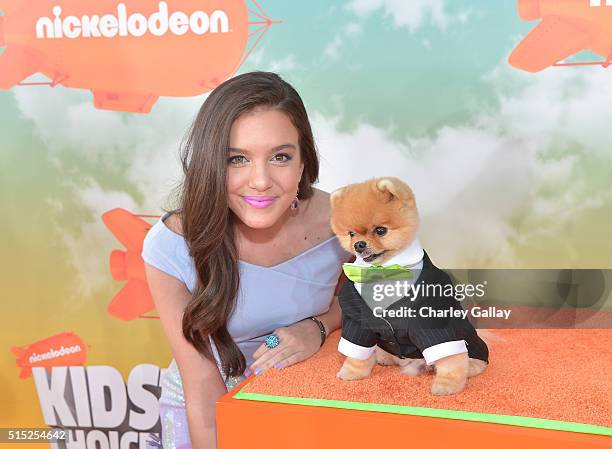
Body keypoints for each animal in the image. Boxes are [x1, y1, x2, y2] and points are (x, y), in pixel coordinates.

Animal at [330, 177, 488, 394]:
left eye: (381, 230)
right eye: (351, 234)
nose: (359, 245)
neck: (384, 271)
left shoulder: (431, 320)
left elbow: (451, 360)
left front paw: (447, 386)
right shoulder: (358, 319)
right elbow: (357, 353)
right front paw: (352, 372)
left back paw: (470, 366)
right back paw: (384, 356)